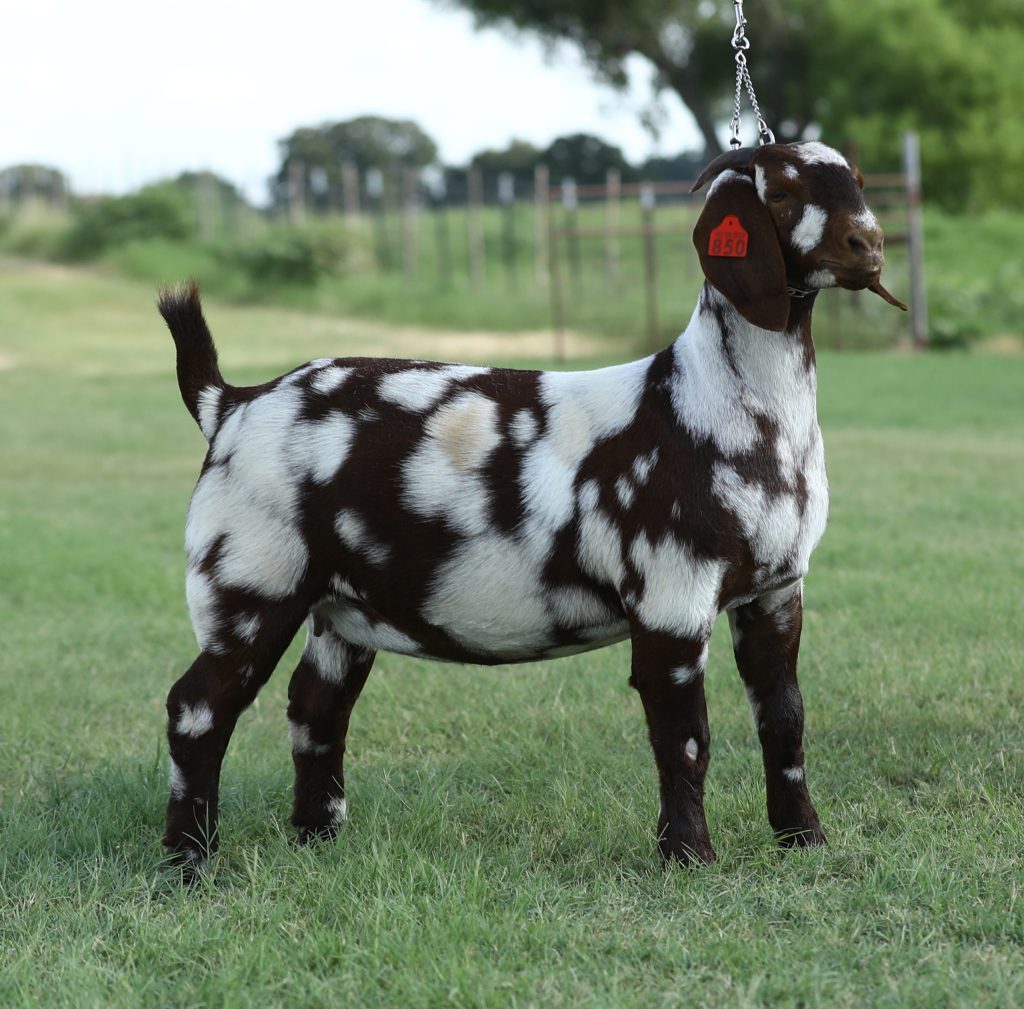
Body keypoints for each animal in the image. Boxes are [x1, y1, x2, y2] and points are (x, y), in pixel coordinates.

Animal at [158, 141, 905, 870]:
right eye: (781, 190)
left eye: (858, 179)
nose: (868, 243)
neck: (711, 401)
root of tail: (232, 403)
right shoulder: (672, 596)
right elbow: (686, 737)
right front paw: (690, 857)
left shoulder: (776, 590)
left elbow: (785, 719)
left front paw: (804, 840)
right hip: (252, 584)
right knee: (197, 707)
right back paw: (189, 860)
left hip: (340, 608)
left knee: (315, 706)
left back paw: (317, 835)